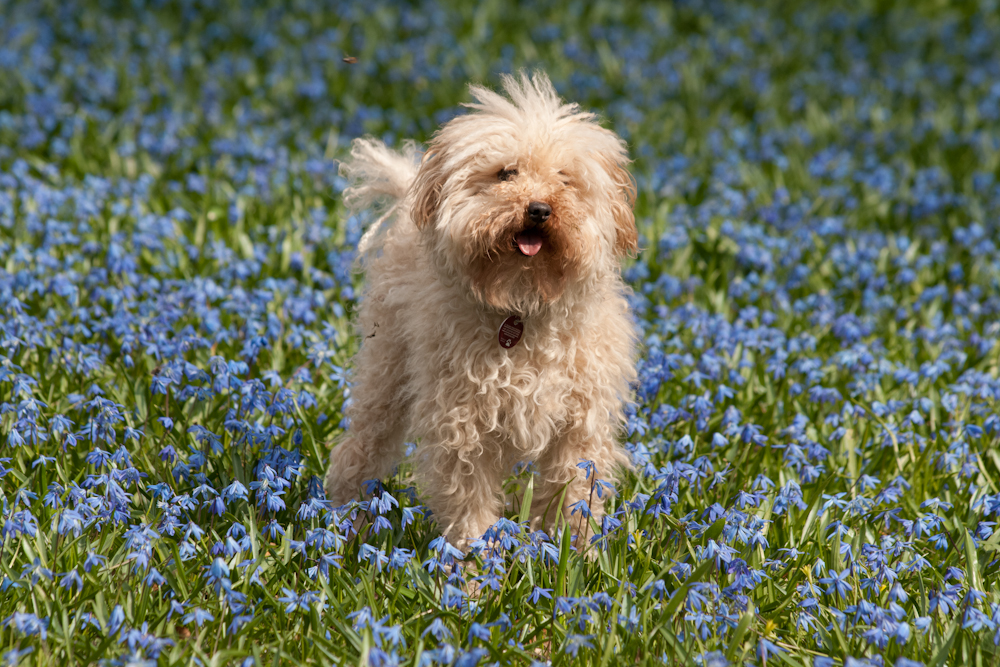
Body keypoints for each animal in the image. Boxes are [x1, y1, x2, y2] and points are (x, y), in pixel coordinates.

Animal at [328, 72, 640, 552]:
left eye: (565, 180)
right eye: (506, 172)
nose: (538, 209)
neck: (522, 305)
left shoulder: (580, 424)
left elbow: (574, 494)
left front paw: (575, 554)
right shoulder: (462, 426)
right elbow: (469, 505)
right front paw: (475, 565)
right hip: (386, 376)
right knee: (359, 449)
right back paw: (348, 520)